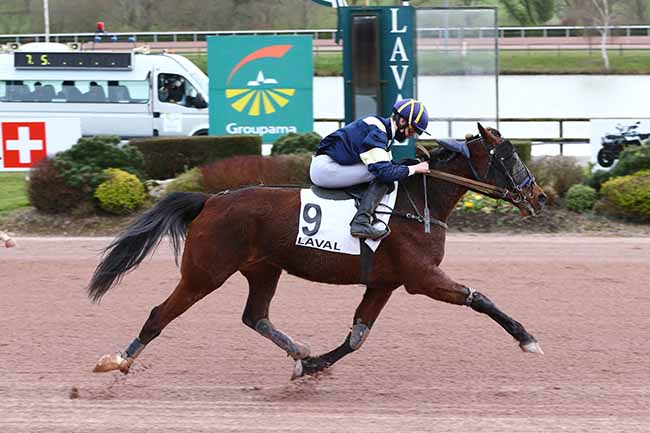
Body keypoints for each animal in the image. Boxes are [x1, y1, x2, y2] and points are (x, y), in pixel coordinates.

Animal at [88, 124, 547, 379]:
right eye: (510, 158)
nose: (540, 198)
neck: (419, 202)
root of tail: (210, 201)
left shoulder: (385, 282)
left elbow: (357, 337)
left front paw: (311, 365)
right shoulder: (422, 278)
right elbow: (479, 298)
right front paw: (527, 338)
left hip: (263, 269)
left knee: (255, 316)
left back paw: (298, 351)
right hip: (205, 272)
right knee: (159, 315)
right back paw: (117, 360)